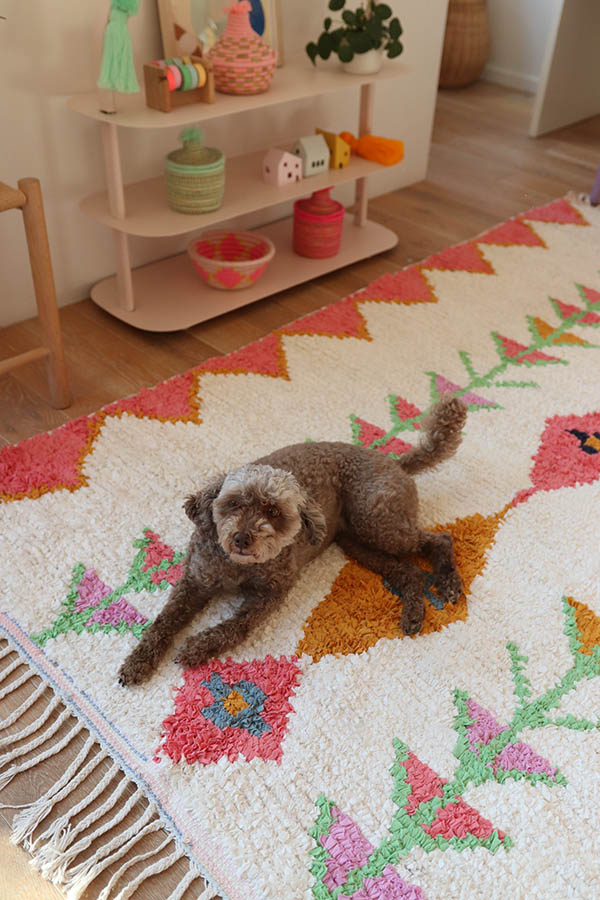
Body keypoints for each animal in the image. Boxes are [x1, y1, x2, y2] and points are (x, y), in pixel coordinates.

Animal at [116, 398, 464, 684]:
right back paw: (413, 614)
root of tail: (394, 462)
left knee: (440, 539)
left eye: (272, 510)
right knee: (411, 572)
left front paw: (198, 647)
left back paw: (448, 583)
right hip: (360, 543)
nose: (242, 538)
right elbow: (164, 621)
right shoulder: (195, 580)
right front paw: (138, 661)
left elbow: (235, 626)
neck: (237, 567)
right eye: (234, 503)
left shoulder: (270, 593)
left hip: (377, 522)